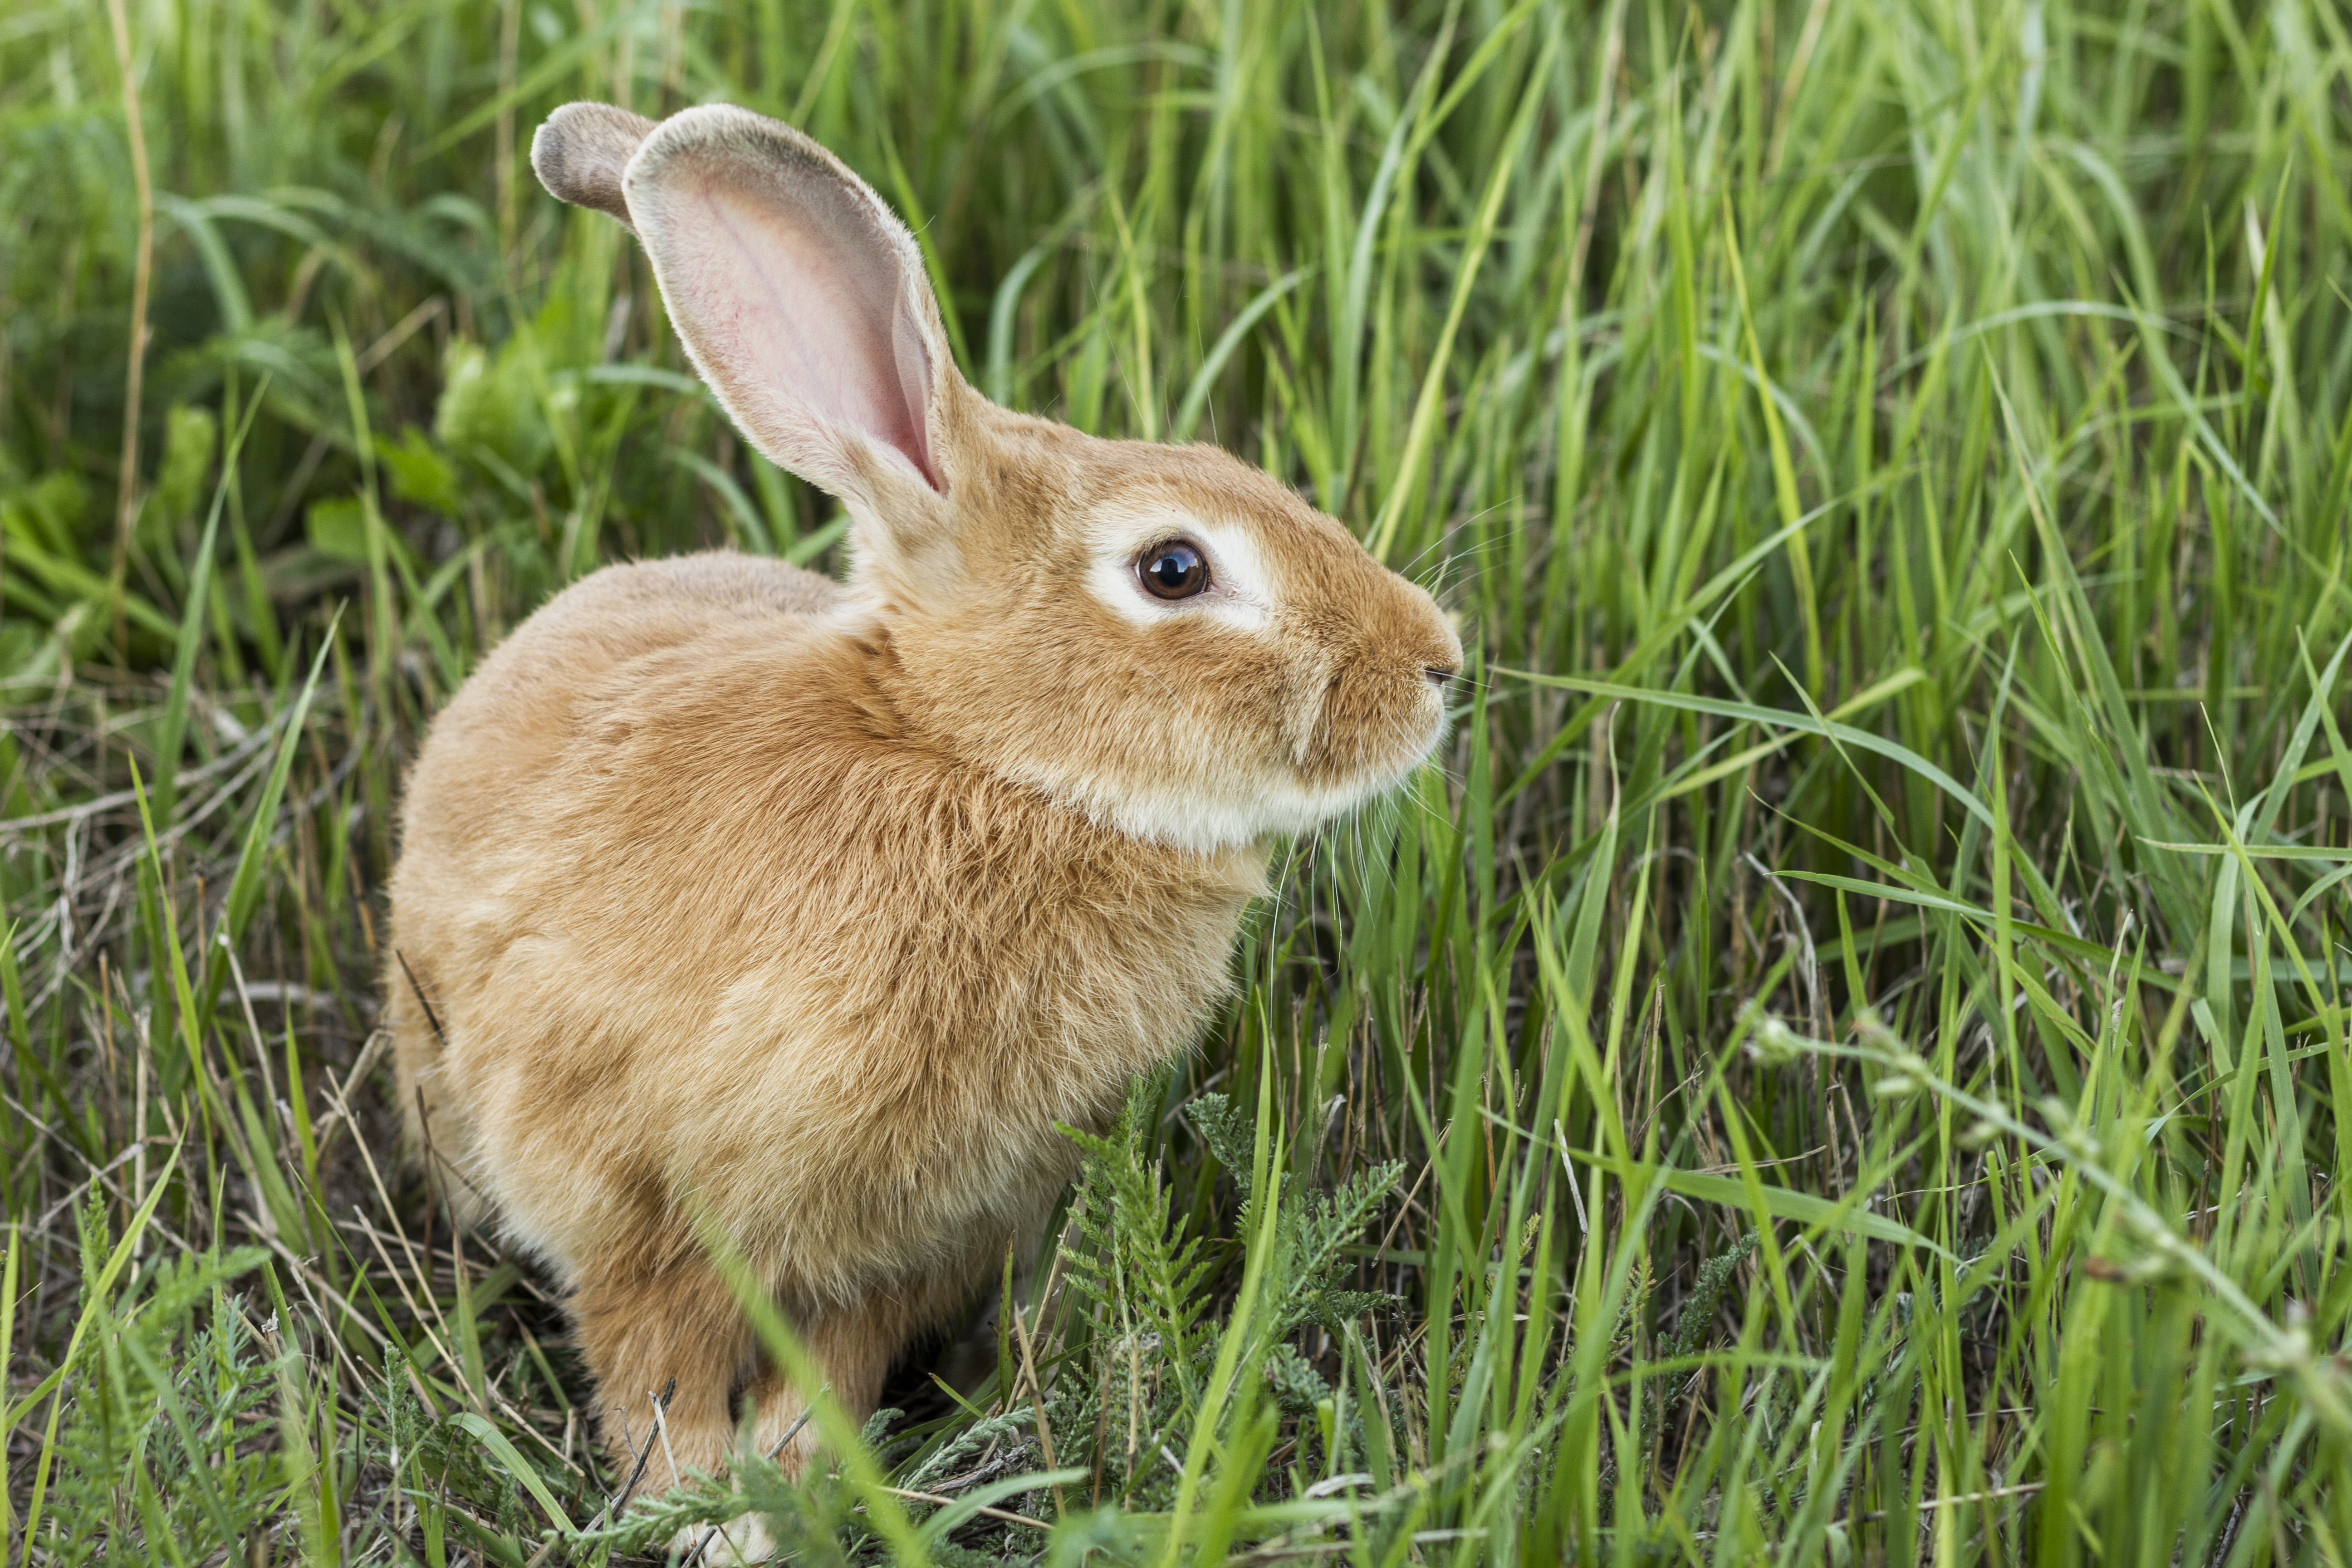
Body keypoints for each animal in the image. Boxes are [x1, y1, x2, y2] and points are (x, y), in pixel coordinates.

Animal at [386, 98, 1449, 1533]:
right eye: (1174, 568)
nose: (1437, 664)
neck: (978, 762)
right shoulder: (625, 1191)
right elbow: (649, 1365)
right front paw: (708, 1514)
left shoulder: (914, 1236)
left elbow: (831, 1368)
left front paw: (796, 1489)